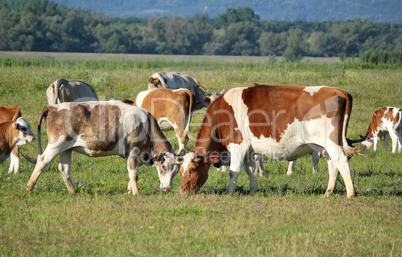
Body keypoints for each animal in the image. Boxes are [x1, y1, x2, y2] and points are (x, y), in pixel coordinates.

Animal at [25, 100, 182, 194]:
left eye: (176, 171)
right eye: (163, 166)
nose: (168, 188)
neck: (146, 125)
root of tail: (53, 107)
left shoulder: (130, 155)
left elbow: (130, 172)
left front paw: (130, 191)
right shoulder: (134, 150)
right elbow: (134, 174)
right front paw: (137, 193)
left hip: (66, 149)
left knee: (64, 169)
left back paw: (73, 192)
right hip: (56, 144)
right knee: (42, 161)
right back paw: (29, 187)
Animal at [181, 84, 366, 196]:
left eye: (193, 169)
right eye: (181, 170)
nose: (182, 191)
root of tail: (337, 91)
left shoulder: (238, 146)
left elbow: (235, 171)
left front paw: (229, 192)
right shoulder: (249, 150)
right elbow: (250, 169)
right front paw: (254, 189)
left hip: (332, 142)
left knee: (342, 161)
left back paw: (351, 193)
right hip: (324, 146)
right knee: (333, 166)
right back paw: (328, 192)